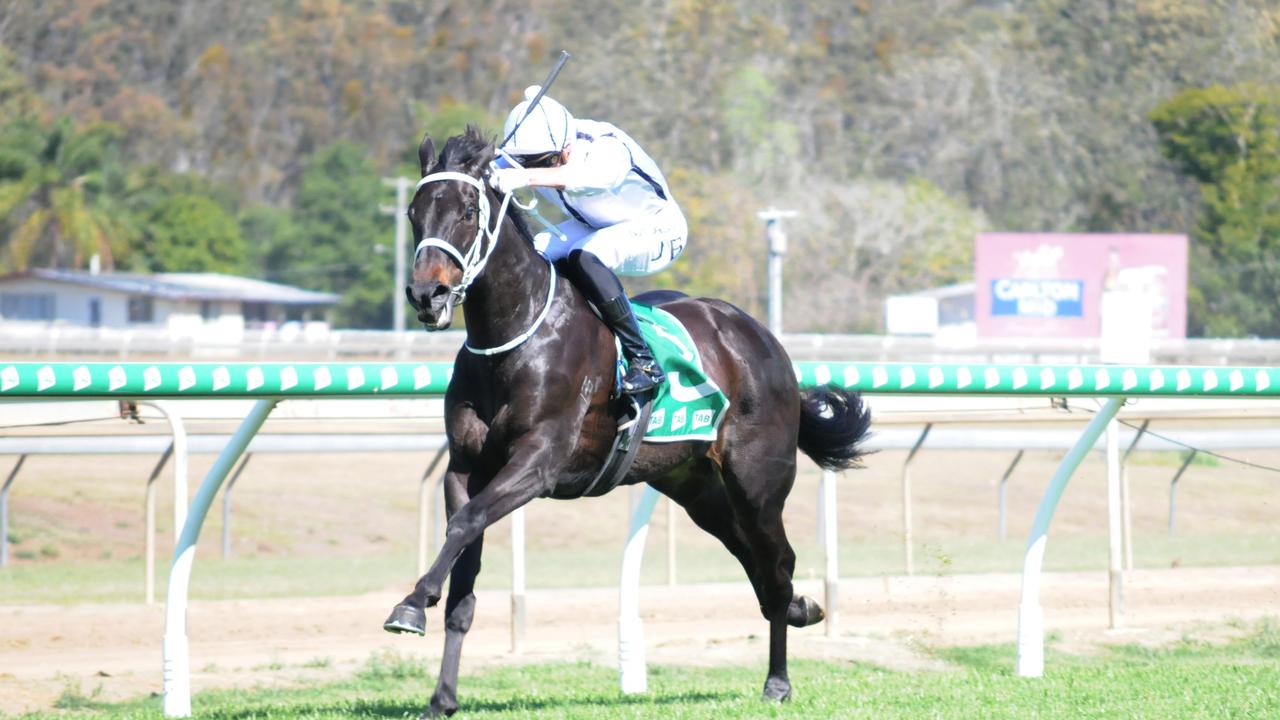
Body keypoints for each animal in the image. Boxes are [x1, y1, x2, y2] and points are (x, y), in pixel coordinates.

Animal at [389, 126, 870, 712]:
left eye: (465, 211)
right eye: (414, 213)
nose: (426, 294)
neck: (516, 335)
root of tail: (762, 338)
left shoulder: (538, 461)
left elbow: (464, 524)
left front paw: (412, 603)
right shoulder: (466, 466)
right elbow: (463, 572)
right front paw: (442, 696)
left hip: (757, 482)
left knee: (775, 564)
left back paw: (778, 679)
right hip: (695, 487)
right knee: (754, 558)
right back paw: (803, 608)